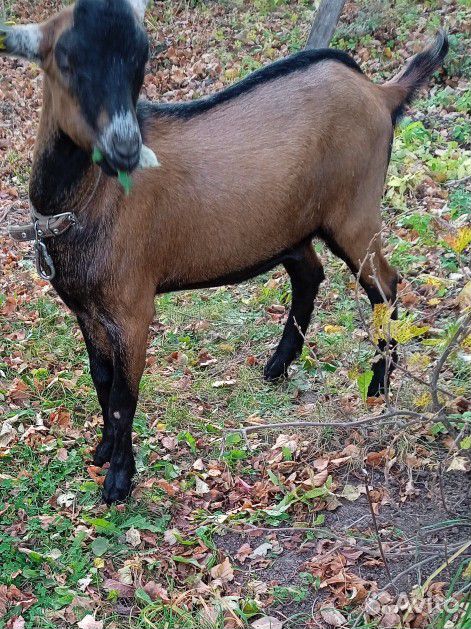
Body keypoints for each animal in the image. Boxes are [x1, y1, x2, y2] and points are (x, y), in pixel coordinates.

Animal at [0, 0, 450, 500]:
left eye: (140, 62)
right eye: (65, 61)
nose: (126, 146)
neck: (87, 200)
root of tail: (379, 92)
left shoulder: (132, 307)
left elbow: (123, 394)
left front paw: (119, 479)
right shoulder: (86, 309)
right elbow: (101, 381)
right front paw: (102, 452)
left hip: (355, 212)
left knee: (385, 285)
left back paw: (378, 385)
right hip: (290, 227)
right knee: (310, 274)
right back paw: (278, 364)